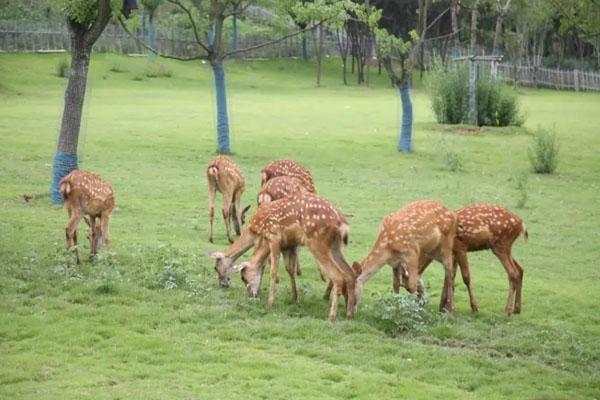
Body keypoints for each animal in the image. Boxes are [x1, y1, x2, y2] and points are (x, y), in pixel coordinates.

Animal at [232, 192, 356, 320]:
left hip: (317, 243)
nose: (250, 295)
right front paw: (294, 299)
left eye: (243, 278)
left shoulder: (274, 238)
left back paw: (332, 316)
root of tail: (343, 224)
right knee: (350, 274)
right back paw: (349, 313)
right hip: (336, 247)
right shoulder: (287, 245)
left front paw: (270, 303)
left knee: (338, 276)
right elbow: (288, 269)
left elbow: (273, 271)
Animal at [400, 205, 528, 318]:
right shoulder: (453, 253)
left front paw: (472, 308)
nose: (420, 304)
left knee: (512, 272)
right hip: (505, 247)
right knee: (520, 269)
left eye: (410, 288)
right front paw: (444, 307)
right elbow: (449, 278)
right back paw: (517, 309)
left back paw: (508, 311)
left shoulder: (460, 247)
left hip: (501, 244)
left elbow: (465, 277)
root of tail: (522, 224)